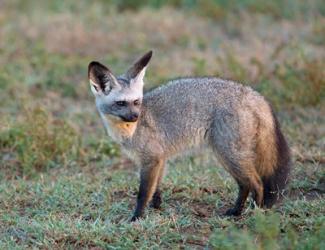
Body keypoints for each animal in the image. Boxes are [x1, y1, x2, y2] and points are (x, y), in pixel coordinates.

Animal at [87, 50, 290, 221]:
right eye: (121, 103)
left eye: (137, 102)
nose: (135, 116)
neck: (128, 131)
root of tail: (253, 94)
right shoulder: (160, 159)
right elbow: (156, 189)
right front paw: (157, 208)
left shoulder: (151, 160)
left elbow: (143, 193)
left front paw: (137, 217)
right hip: (229, 156)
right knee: (245, 184)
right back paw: (236, 211)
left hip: (227, 154)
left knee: (257, 183)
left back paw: (255, 213)